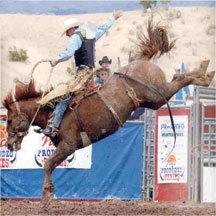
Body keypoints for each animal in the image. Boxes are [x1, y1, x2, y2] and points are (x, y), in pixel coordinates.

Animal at [2, 20, 214, 208]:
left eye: (10, 119)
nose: (10, 145)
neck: (50, 110)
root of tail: (140, 60)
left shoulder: (68, 145)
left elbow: (48, 165)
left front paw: (47, 194)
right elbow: (50, 165)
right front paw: (49, 192)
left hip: (157, 95)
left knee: (179, 78)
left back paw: (204, 73)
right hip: (154, 100)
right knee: (178, 78)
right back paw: (205, 72)